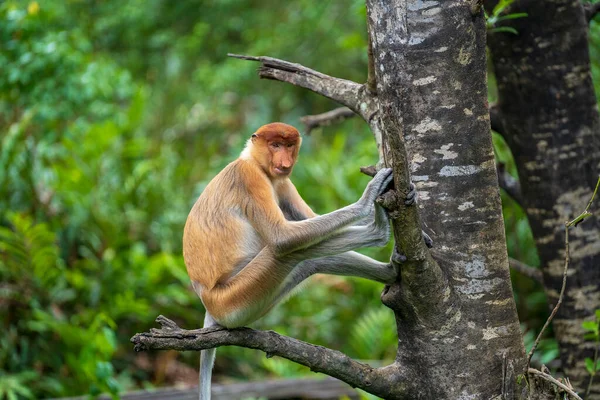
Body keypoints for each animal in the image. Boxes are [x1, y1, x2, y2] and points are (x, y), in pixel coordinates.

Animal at [183, 122, 418, 400]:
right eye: (275, 145)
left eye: (289, 145)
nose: (284, 161)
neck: (256, 164)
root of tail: (207, 300)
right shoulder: (248, 178)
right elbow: (282, 237)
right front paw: (369, 198)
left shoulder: (283, 183)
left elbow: (310, 218)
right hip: (233, 301)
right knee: (289, 252)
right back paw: (380, 232)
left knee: (310, 260)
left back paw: (390, 267)